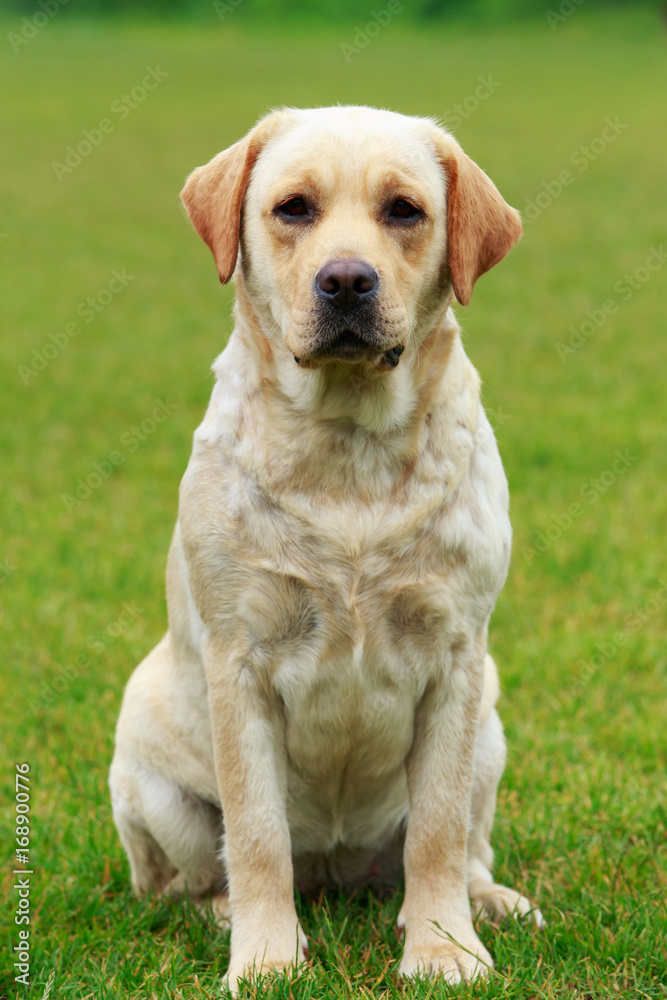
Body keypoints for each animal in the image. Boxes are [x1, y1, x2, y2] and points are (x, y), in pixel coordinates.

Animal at [109, 103, 544, 992]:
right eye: (294, 208)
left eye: (404, 210)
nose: (346, 281)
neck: (348, 449)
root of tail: (337, 870)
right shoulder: (240, 664)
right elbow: (256, 835)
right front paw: (266, 960)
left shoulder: (456, 661)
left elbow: (437, 831)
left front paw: (443, 951)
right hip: (149, 779)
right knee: (184, 882)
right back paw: (223, 914)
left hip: (488, 731)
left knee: (460, 847)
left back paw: (486, 902)